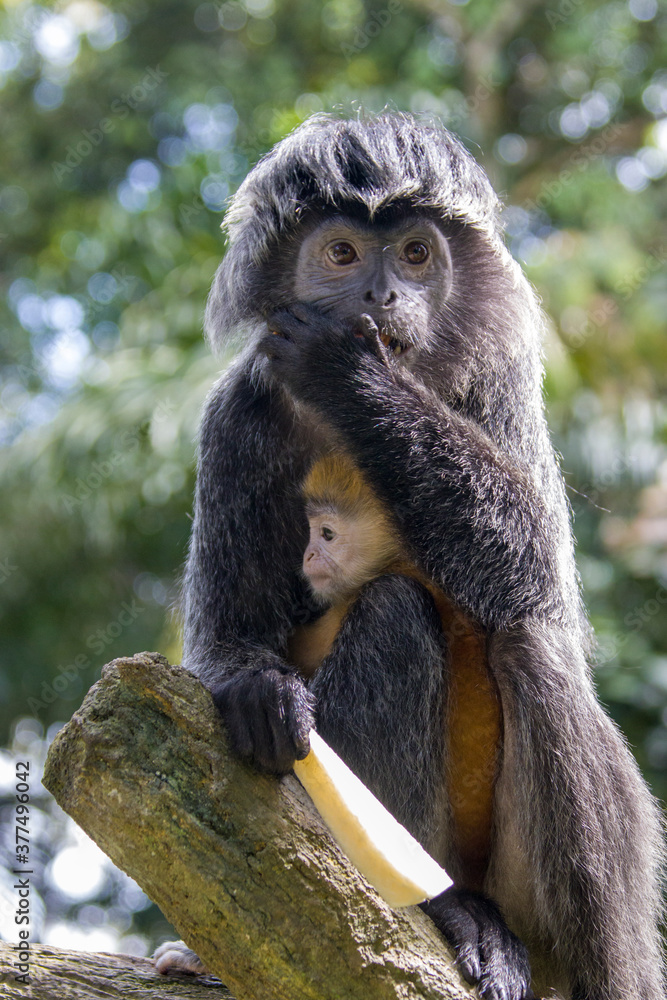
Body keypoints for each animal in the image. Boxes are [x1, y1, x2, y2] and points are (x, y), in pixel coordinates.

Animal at [157, 113, 665, 1000]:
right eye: (341, 253)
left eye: (415, 254)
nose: (380, 297)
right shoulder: (235, 416)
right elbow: (221, 646)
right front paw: (257, 688)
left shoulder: (499, 377)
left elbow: (538, 575)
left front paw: (353, 376)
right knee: (397, 614)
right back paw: (446, 911)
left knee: (529, 644)